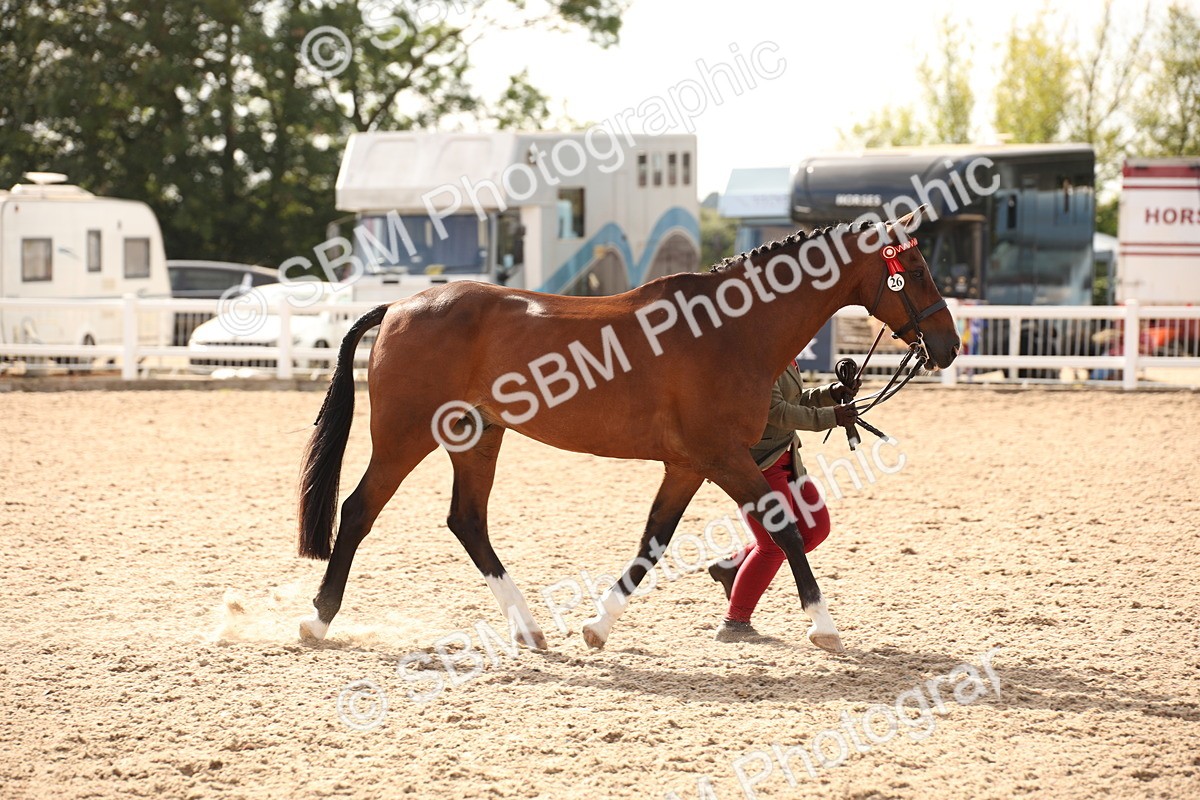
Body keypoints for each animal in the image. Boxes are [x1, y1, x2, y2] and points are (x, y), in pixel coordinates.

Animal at [296, 206, 959, 654]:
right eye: (915, 267)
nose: (949, 345)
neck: (731, 329)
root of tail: (400, 306)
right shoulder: (724, 456)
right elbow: (786, 531)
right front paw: (825, 628)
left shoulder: (690, 465)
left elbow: (652, 543)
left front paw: (596, 627)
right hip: (405, 436)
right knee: (359, 511)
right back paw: (318, 619)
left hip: (477, 436)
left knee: (468, 522)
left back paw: (530, 629)